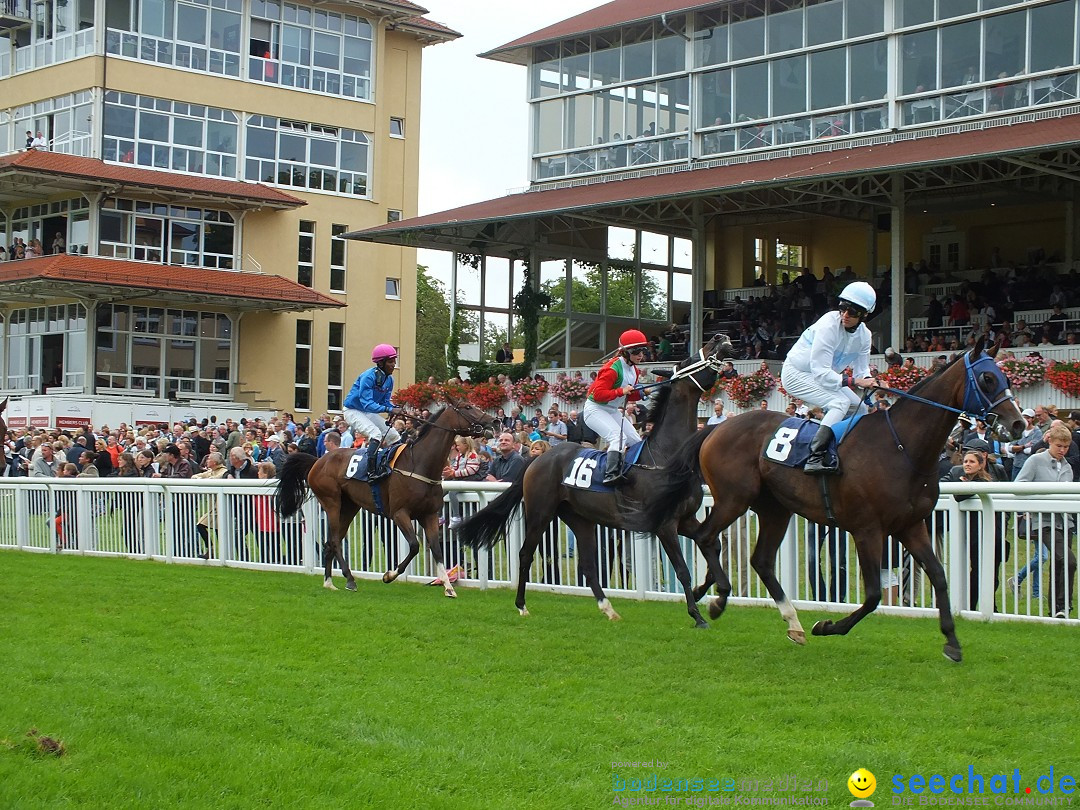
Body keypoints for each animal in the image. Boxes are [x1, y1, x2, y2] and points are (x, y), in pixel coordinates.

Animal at [280, 399, 494, 596]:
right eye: (467, 407)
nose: (494, 421)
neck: (420, 464)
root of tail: (318, 460)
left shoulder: (430, 515)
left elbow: (436, 548)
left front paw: (448, 587)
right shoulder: (400, 513)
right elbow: (414, 546)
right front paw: (389, 575)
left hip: (349, 506)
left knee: (332, 542)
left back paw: (329, 582)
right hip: (331, 501)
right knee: (333, 541)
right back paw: (349, 579)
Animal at [455, 336, 734, 626]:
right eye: (689, 360)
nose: (720, 339)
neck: (666, 456)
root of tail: (538, 459)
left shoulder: (685, 519)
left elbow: (712, 544)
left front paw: (711, 595)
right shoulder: (664, 524)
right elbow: (682, 569)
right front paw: (698, 614)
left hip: (580, 518)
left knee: (588, 566)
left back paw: (608, 608)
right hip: (541, 512)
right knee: (525, 554)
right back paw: (521, 605)